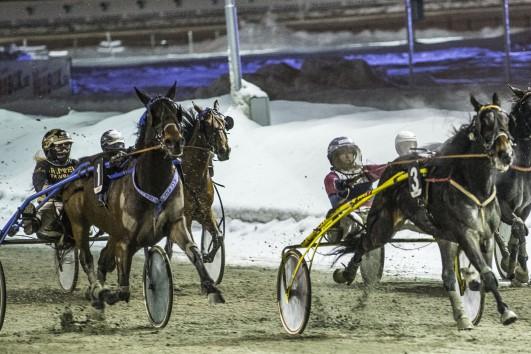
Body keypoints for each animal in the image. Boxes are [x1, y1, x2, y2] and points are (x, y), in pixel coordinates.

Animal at [61, 83, 224, 310]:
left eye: (177, 111)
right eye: (152, 113)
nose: (174, 141)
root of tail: (78, 169)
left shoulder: (183, 219)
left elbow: (198, 249)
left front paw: (210, 285)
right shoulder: (127, 238)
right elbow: (123, 289)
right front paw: (106, 293)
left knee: (103, 259)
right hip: (79, 224)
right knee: (87, 258)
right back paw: (96, 289)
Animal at [334, 93, 516, 330]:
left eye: (506, 120)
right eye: (485, 123)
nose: (505, 154)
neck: (474, 185)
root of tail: (391, 166)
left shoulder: (486, 235)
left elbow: (483, 275)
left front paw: (475, 283)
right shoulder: (465, 233)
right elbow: (488, 275)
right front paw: (506, 312)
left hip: (443, 236)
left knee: (447, 277)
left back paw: (462, 317)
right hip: (383, 226)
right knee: (364, 242)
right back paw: (346, 274)